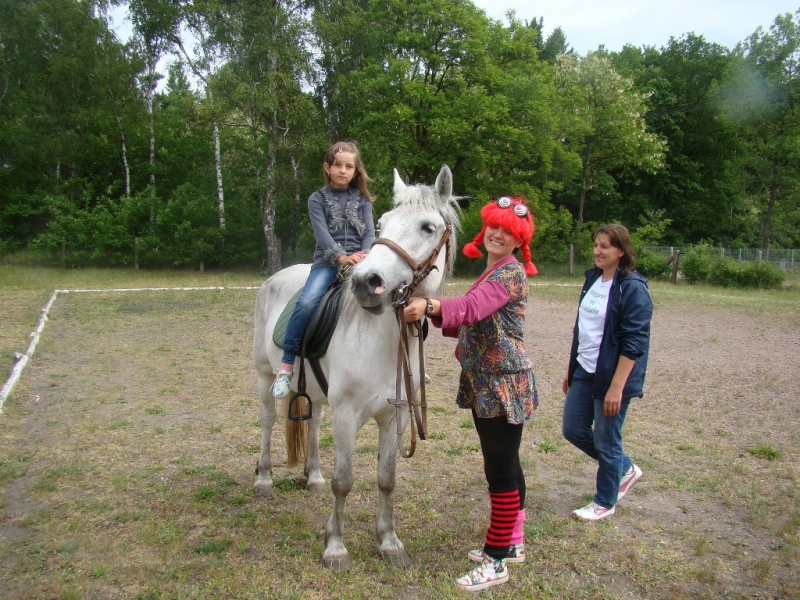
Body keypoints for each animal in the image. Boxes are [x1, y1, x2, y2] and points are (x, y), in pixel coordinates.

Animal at [253, 164, 460, 568]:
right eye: (382, 223)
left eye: (427, 227)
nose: (367, 282)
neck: (383, 343)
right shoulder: (347, 415)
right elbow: (344, 481)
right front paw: (335, 546)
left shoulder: (394, 416)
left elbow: (386, 479)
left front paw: (390, 542)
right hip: (265, 375)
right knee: (268, 420)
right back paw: (265, 479)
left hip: (315, 391)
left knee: (313, 421)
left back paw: (313, 475)